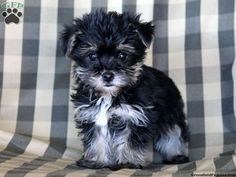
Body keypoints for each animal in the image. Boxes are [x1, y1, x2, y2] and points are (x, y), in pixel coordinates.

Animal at [60, 10, 189, 170]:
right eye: (92, 56)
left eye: (122, 55)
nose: (108, 75)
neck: (109, 95)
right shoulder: (93, 116)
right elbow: (96, 140)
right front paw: (96, 161)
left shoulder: (134, 117)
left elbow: (129, 141)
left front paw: (127, 162)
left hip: (171, 113)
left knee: (173, 134)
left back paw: (176, 155)